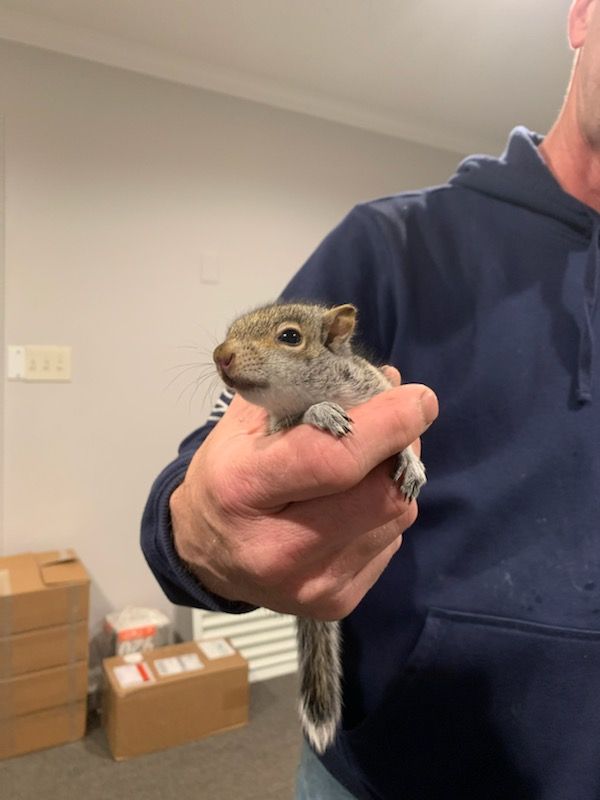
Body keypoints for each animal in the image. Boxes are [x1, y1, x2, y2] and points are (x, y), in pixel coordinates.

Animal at [213, 301, 426, 754]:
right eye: (230, 332)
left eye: (290, 337)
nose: (221, 355)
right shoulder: (279, 427)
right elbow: (302, 419)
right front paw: (320, 412)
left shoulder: (379, 387)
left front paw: (411, 462)